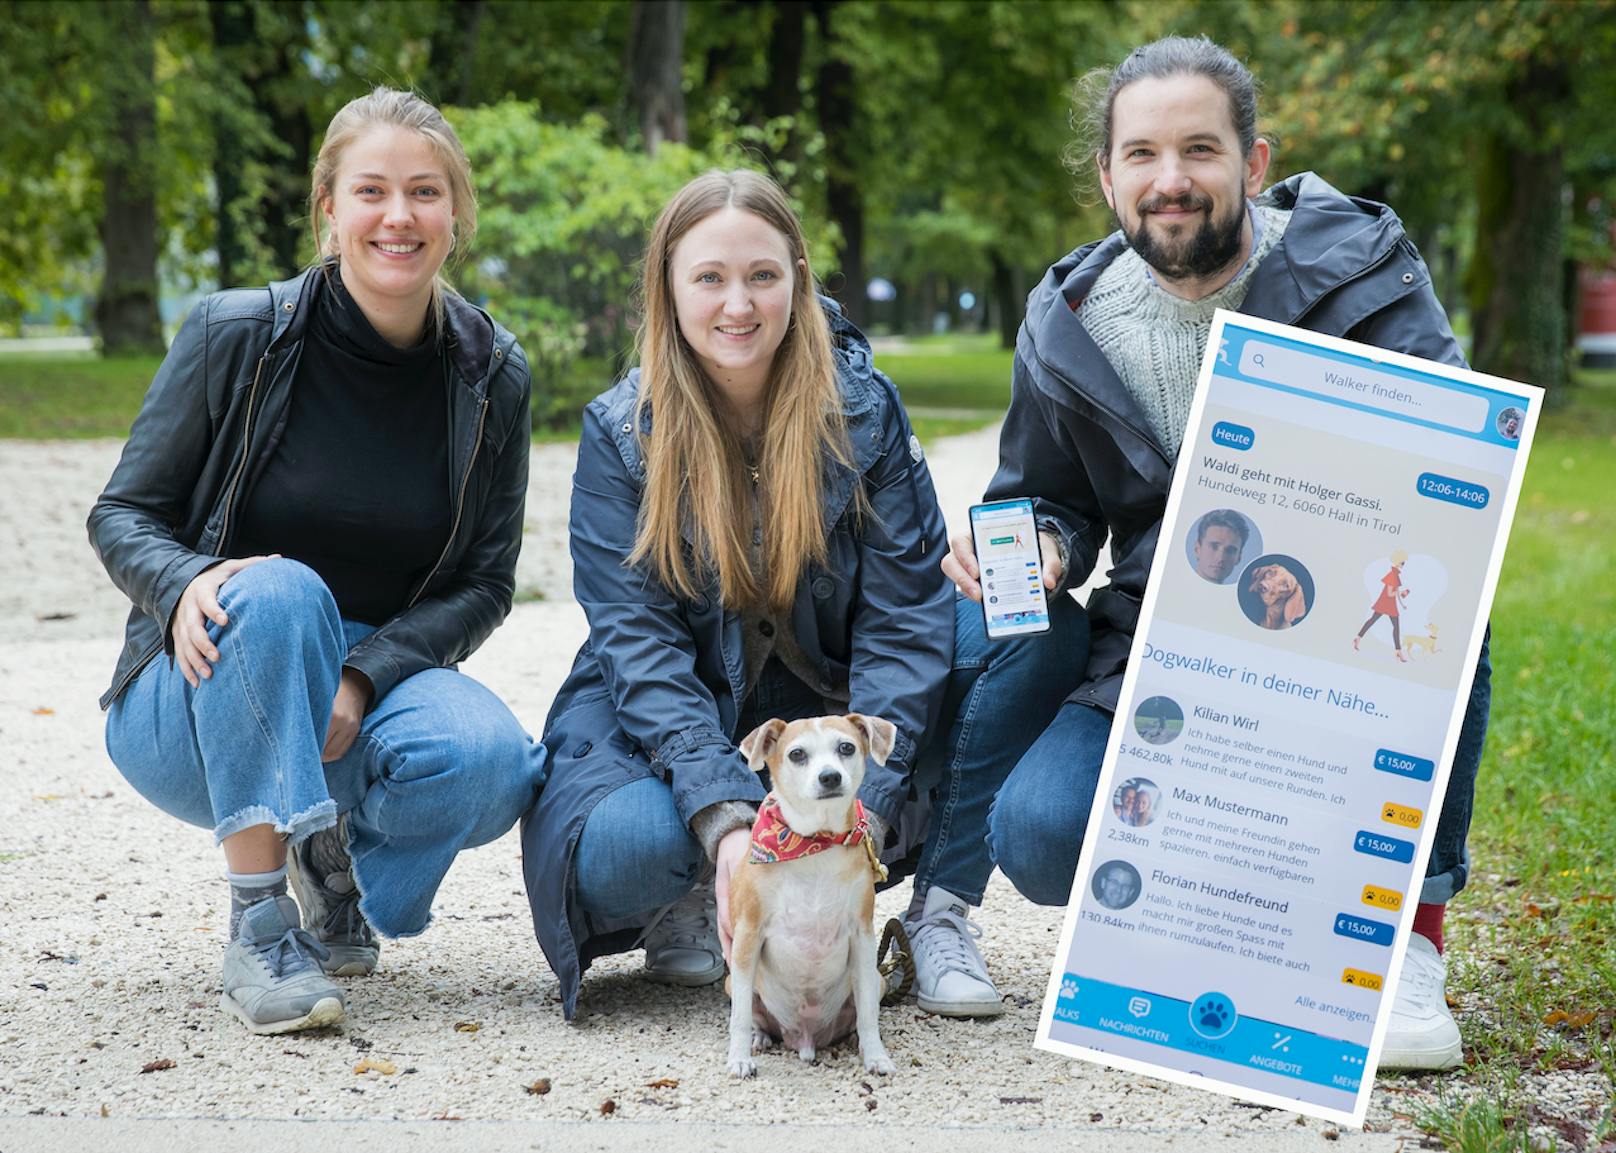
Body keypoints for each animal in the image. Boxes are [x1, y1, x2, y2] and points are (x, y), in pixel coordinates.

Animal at [730, 711, 904, 1080]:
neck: (815, 844)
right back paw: (758, 1037)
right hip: (732, 980)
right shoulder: (747, 936)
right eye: (797, 754)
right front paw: (737, 1058)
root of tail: (805, 1037)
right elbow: (739, 1015)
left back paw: (855, 1039)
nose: (830, 776)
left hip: (875, 979)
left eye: (846, 747)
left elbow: (868, 1013)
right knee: (753, 1015)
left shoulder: (863, 938)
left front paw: (876, 1056)